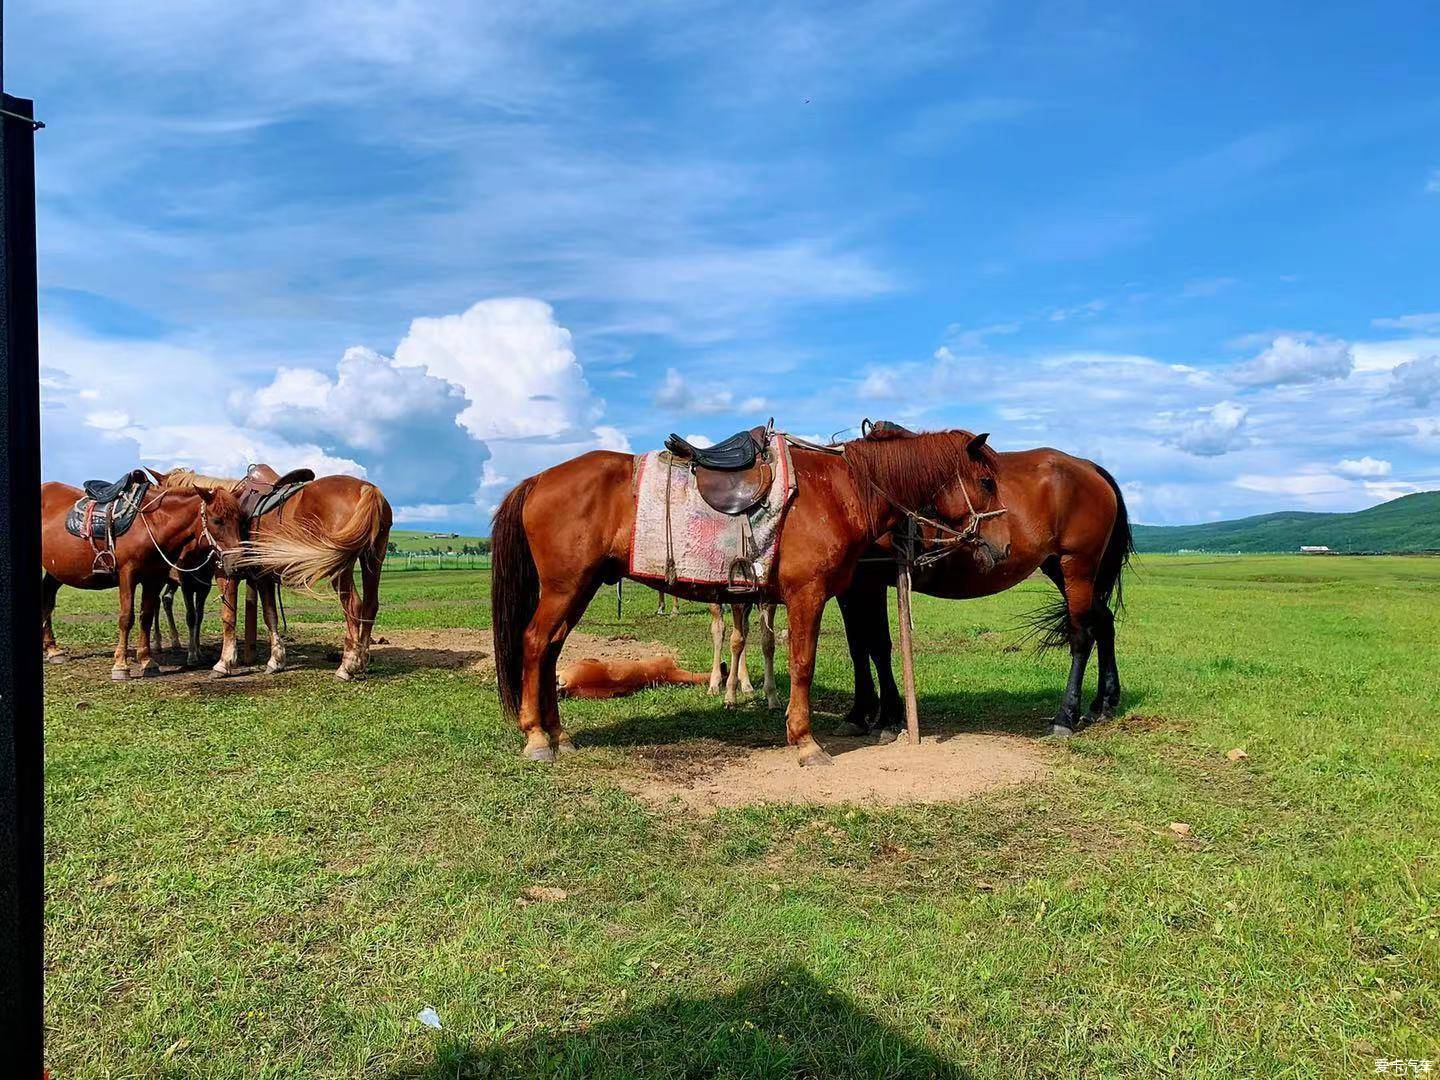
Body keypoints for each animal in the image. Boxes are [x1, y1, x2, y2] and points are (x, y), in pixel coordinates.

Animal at [41, 486, 244, 679]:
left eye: (239, 519)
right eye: (217, 520)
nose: (236, 560)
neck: (153, 524)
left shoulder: (155, 578)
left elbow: (146, 616)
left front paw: (147, 661)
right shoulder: (127, 575)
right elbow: (126, 618)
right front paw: (120, 665)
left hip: (55, 572)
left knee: (48, 600)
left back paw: (53, 650)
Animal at [489, 426, 1008, 766]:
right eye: (986, 481)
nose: (1001, 547)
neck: (840, 489)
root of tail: (537, 480)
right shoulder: (805, 595)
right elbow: (802, 662)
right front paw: (805, 741)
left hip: (580, 587)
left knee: (551, 649)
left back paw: (558, 734)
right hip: (566, 587)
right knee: (535, 643)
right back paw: (537, 738)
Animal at [835, 443, 1134, 743]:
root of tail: (1089, 467)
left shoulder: (868, 581)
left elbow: (877, 646)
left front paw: (886, 718)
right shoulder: (849, 587)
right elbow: (857, 645)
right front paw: (859, 713)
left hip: (1077, 567)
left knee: (1082, 637)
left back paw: (1066, 716)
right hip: (1061, 571)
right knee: (1104, 622)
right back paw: (1103, 704)